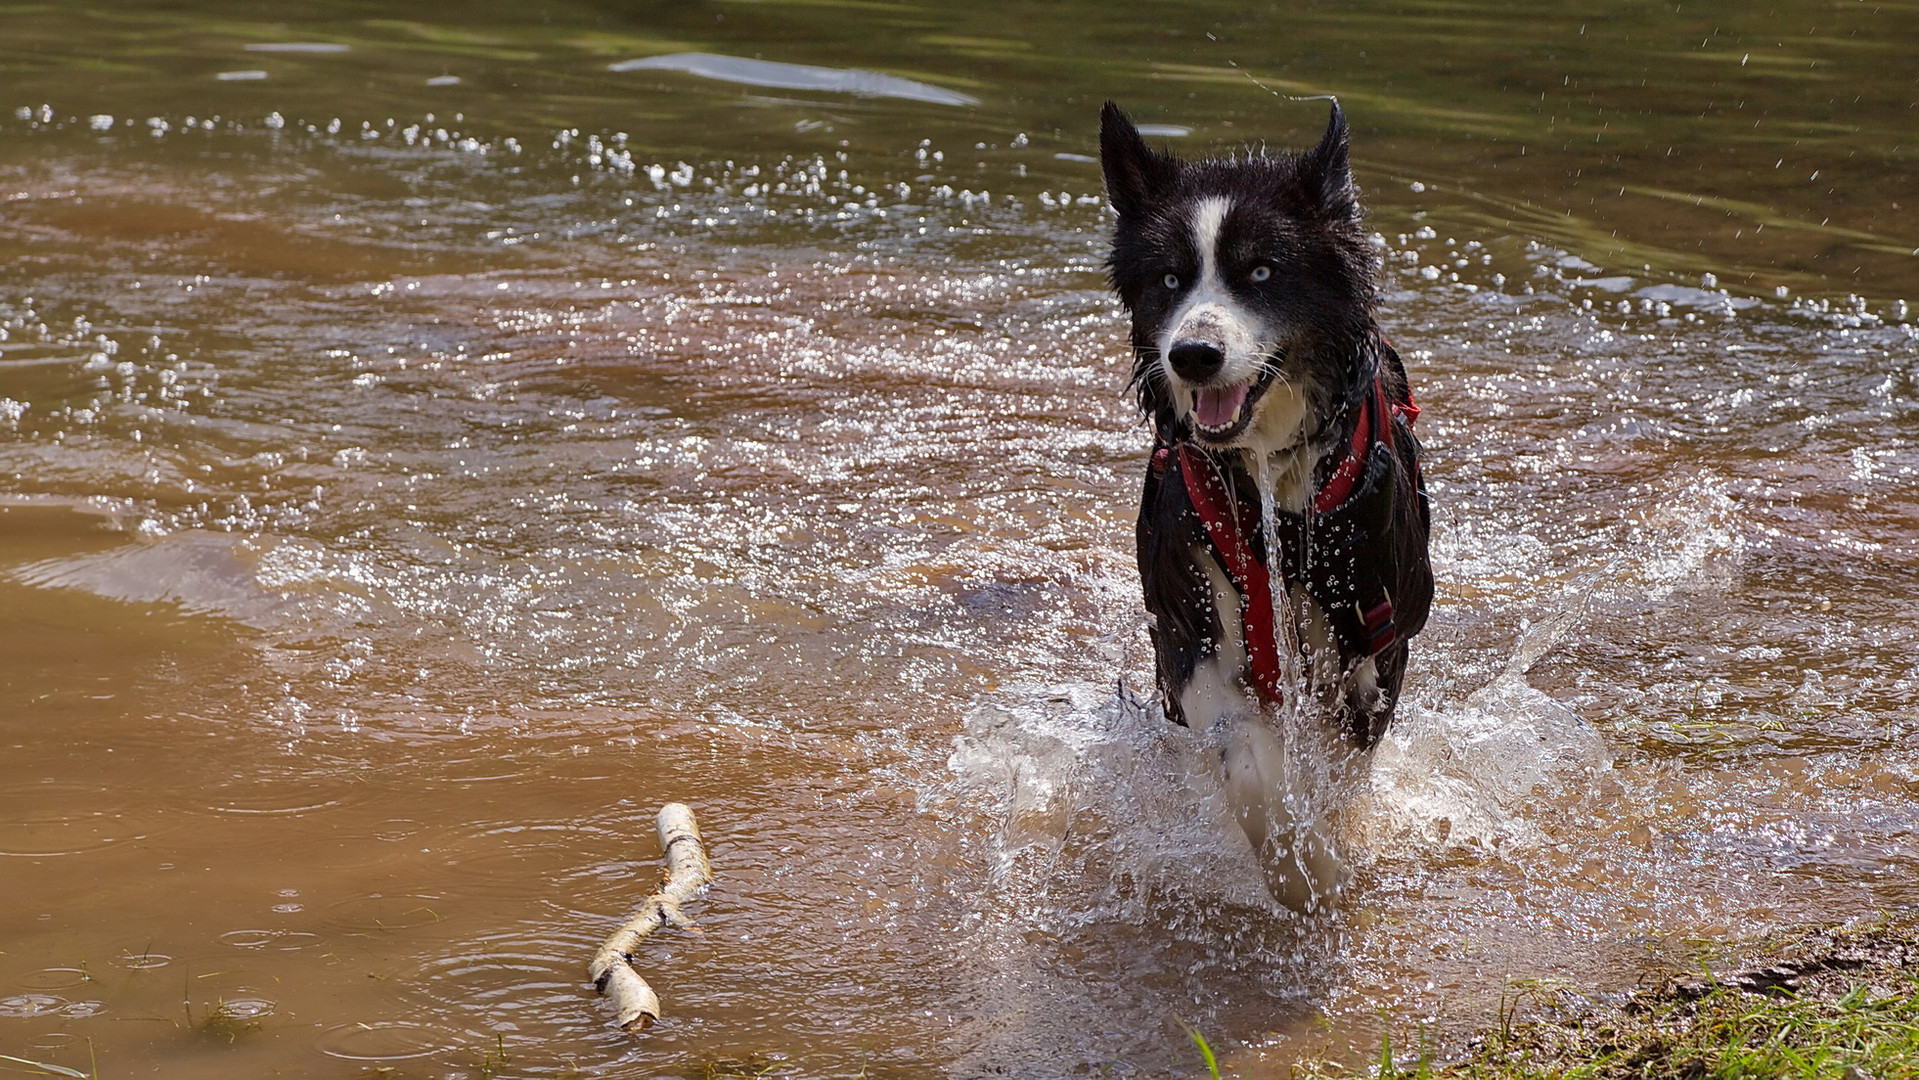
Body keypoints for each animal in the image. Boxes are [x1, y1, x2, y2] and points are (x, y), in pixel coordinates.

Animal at [1105, 101, 1435, 913]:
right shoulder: (1188, 621)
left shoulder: (1375, 634)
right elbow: (1248, 763)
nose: (1192, 355)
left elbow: (1341, 763)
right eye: (1169, 277)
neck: (1266, 482)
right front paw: (1298, 866)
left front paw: (1327, 847)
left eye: (1260, 271)